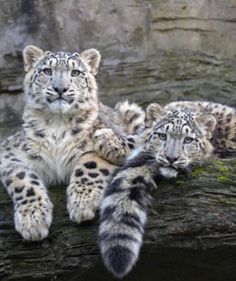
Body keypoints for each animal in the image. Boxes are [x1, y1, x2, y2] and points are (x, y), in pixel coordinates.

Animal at [98, 99, 236, 276]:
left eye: (188, 140)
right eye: (162, 136)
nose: (171, 158)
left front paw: (105, 139)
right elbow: (139, 138)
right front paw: (106, 138)